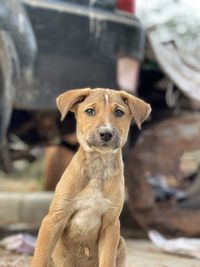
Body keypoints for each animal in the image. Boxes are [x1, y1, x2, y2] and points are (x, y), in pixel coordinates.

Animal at [30, 88, 150, 267]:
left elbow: (107, 260)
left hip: (121, 243)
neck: (98, 166)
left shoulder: (111, 225)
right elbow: (40, 256)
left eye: (119, 112)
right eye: (90, 111)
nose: (106, 133)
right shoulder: (54, 219)